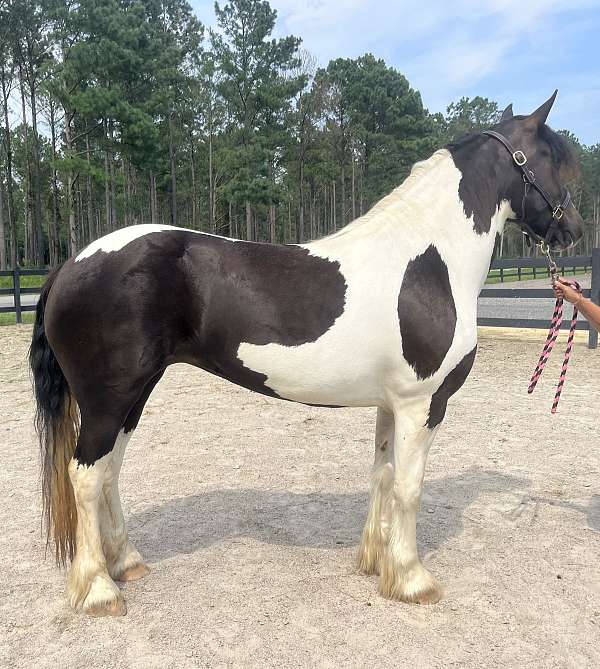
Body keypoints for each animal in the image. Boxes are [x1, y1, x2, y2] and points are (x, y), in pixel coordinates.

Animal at [30, 94, 584, 616]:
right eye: (551, 158)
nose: (574, 230)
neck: (429, 261)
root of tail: (71, 263)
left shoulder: (391, 404)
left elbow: (383, 476)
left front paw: (376, 562)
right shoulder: (422, 403)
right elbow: (409, 488)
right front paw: (411, 579)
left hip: (134, 395)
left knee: (109, 471)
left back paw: (126, 563)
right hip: (108, 400)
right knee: (85, 476)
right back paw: (99, 590)